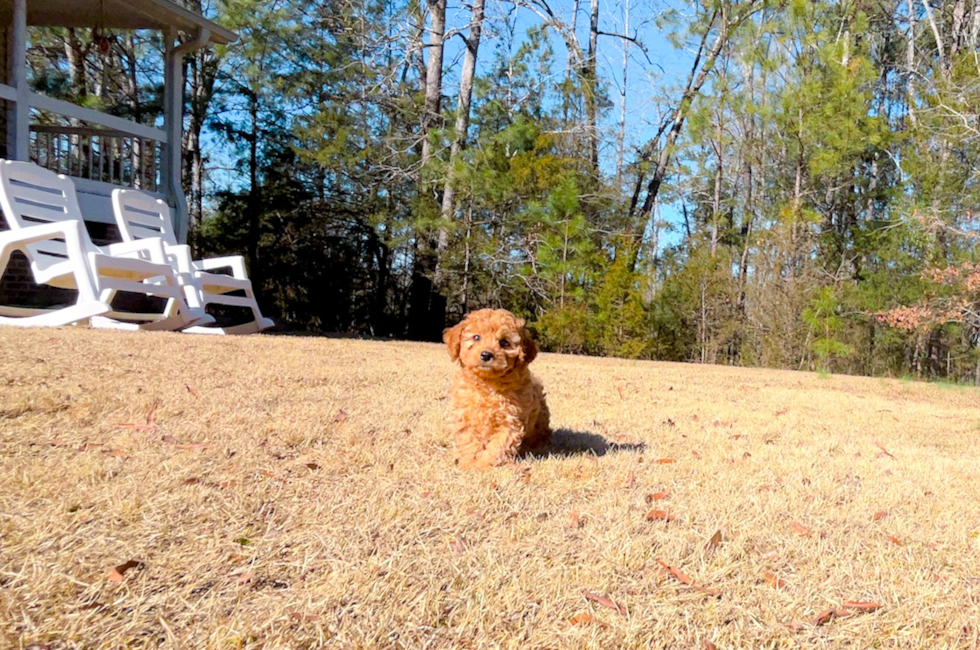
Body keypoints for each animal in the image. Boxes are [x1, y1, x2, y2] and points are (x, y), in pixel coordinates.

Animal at [444, 306, 552, 468]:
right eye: (476, 337)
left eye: (504, 342)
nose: (486, 354)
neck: (487, 386)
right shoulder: (466, 417)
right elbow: (470, 442)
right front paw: (470, 463)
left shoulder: (511, 420)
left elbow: (499, 446)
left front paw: (484, 465)